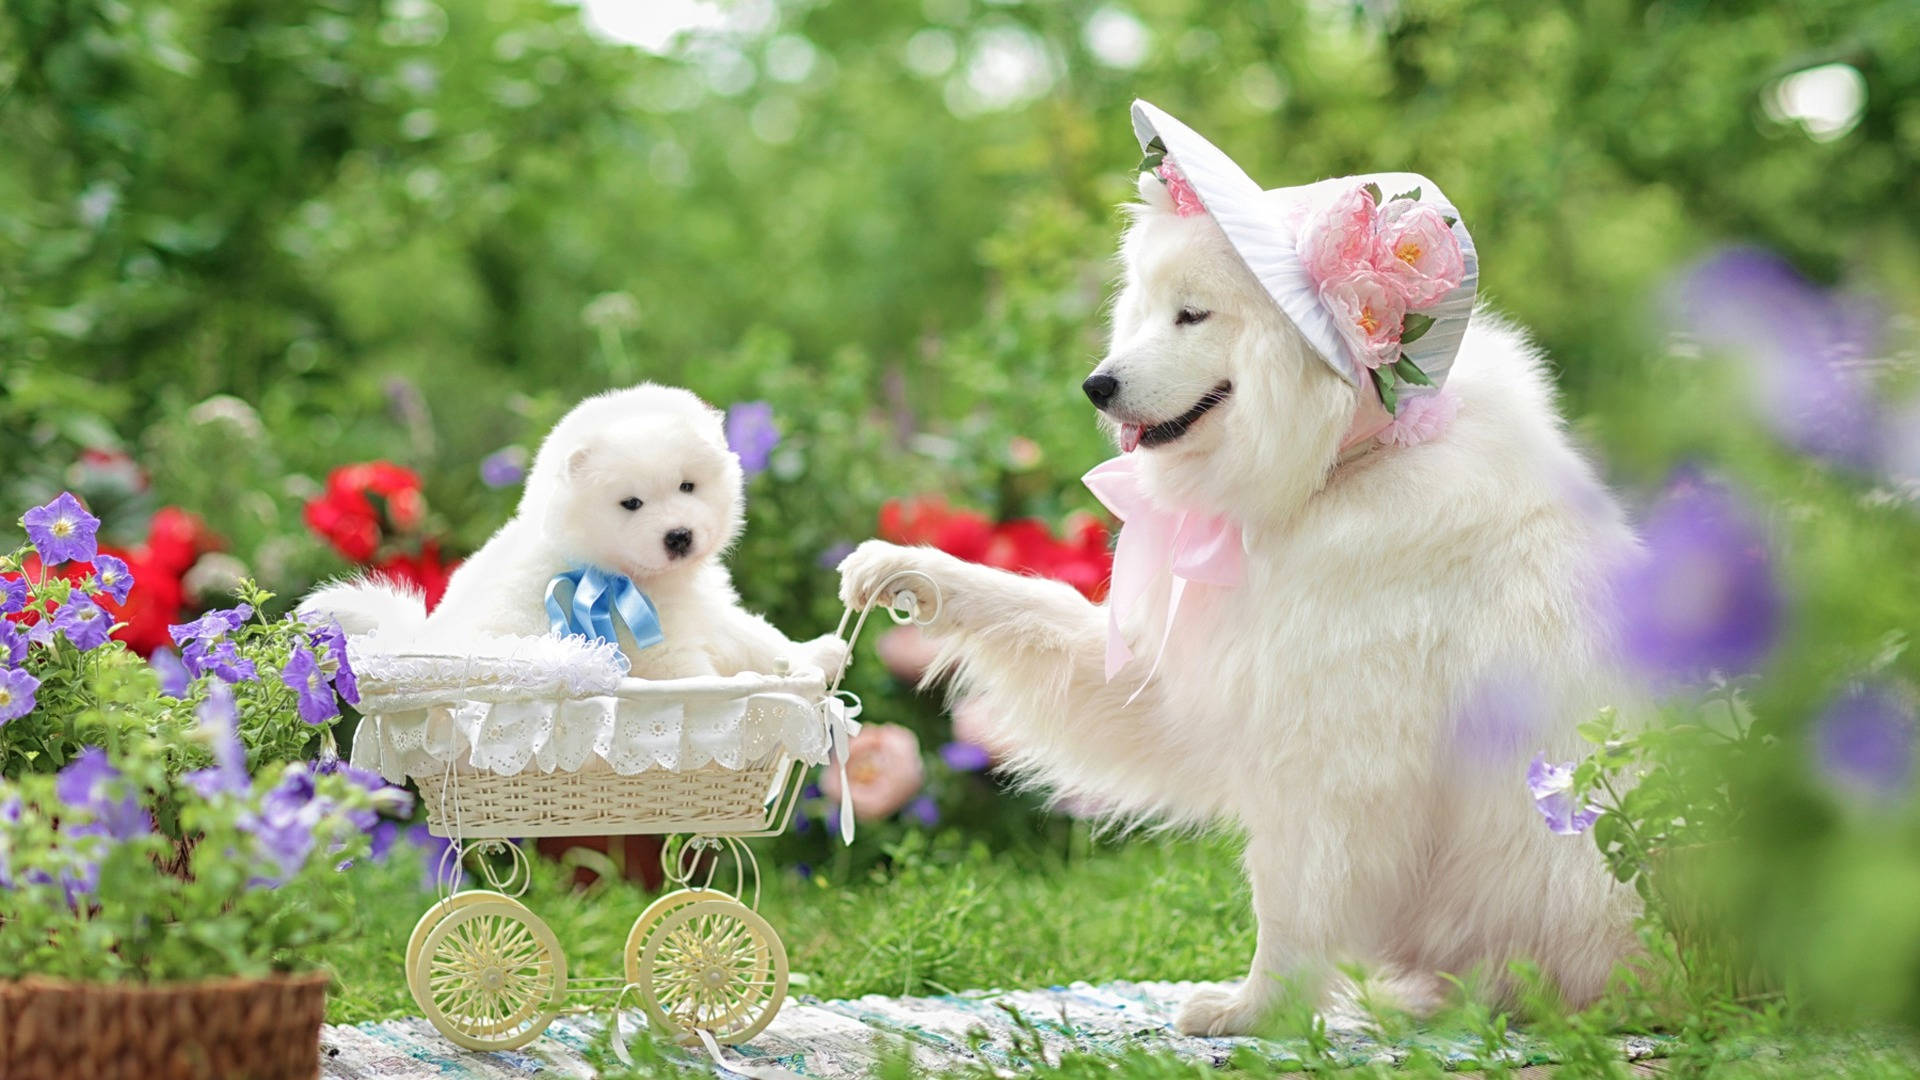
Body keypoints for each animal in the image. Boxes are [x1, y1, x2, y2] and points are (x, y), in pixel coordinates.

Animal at [309, 382, 848, 676]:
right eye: (631, 503)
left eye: (687, 486)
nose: (678, 536)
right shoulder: (658, 650)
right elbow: (699, 680)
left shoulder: (708, 610)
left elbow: (758, 637)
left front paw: (818, 653)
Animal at [840, 102, 1635, 1037]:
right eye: (1147, 311)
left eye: (1194, 315)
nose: (1095, 386)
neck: (1340, 470)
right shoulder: (1175, 679)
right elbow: (1028, 605)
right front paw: (902, 570)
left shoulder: (1329, 754)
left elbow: (1290, 897)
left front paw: (1256, 1012)